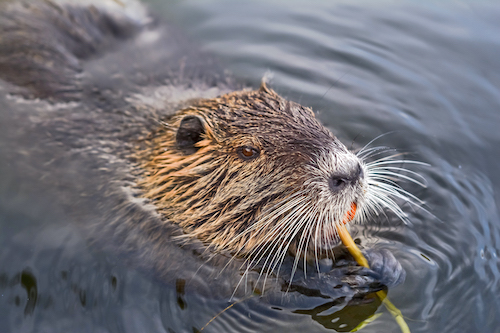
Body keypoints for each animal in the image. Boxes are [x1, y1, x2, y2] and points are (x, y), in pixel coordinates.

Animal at [0, 0, 406, 308]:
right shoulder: (102, 197)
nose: (349, 173)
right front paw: (332, 280)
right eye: (248, 150)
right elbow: (192, 272)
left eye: (309, 112)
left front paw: (382, 258)